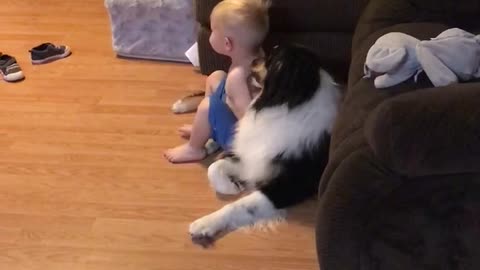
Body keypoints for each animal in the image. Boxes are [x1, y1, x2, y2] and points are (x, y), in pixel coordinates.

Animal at [188, 43, 342, 247]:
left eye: (272, 58)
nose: (253, 60)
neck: (287, 104)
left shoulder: (287, 186)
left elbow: (239, 205)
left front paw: (206, 223)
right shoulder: (253, 158)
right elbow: (214, 167)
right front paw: (232, 187)